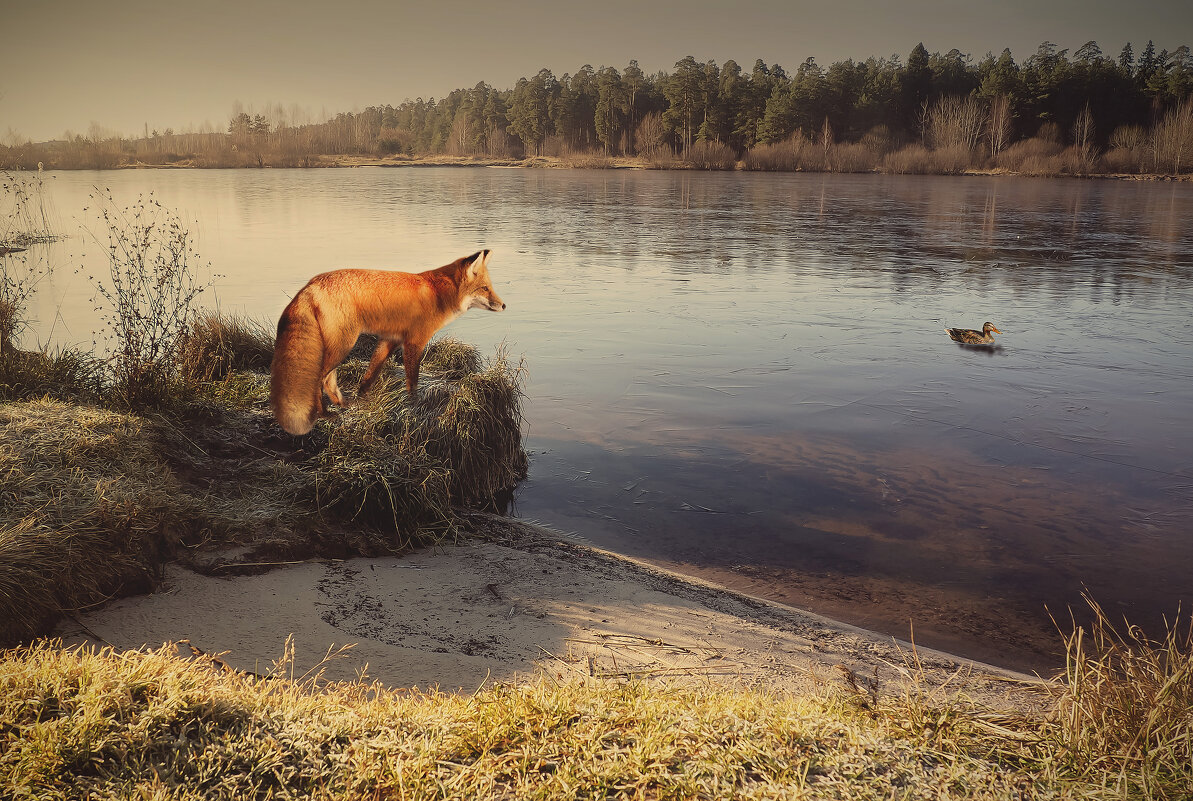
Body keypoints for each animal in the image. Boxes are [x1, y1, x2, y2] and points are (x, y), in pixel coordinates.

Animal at [270, 250, 503, 439]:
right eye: (484, 288)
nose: (504, 305)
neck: (438, 294)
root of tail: (311, 284)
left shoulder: (390, 340)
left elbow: (370, 375)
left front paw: (362, 400)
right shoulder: (414, 342)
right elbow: (412, 381)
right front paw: (414, 405)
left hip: (339, 344)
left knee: (328, 379)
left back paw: (342, 405)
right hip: (343, 343)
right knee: (320, 378)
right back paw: (324, 414)